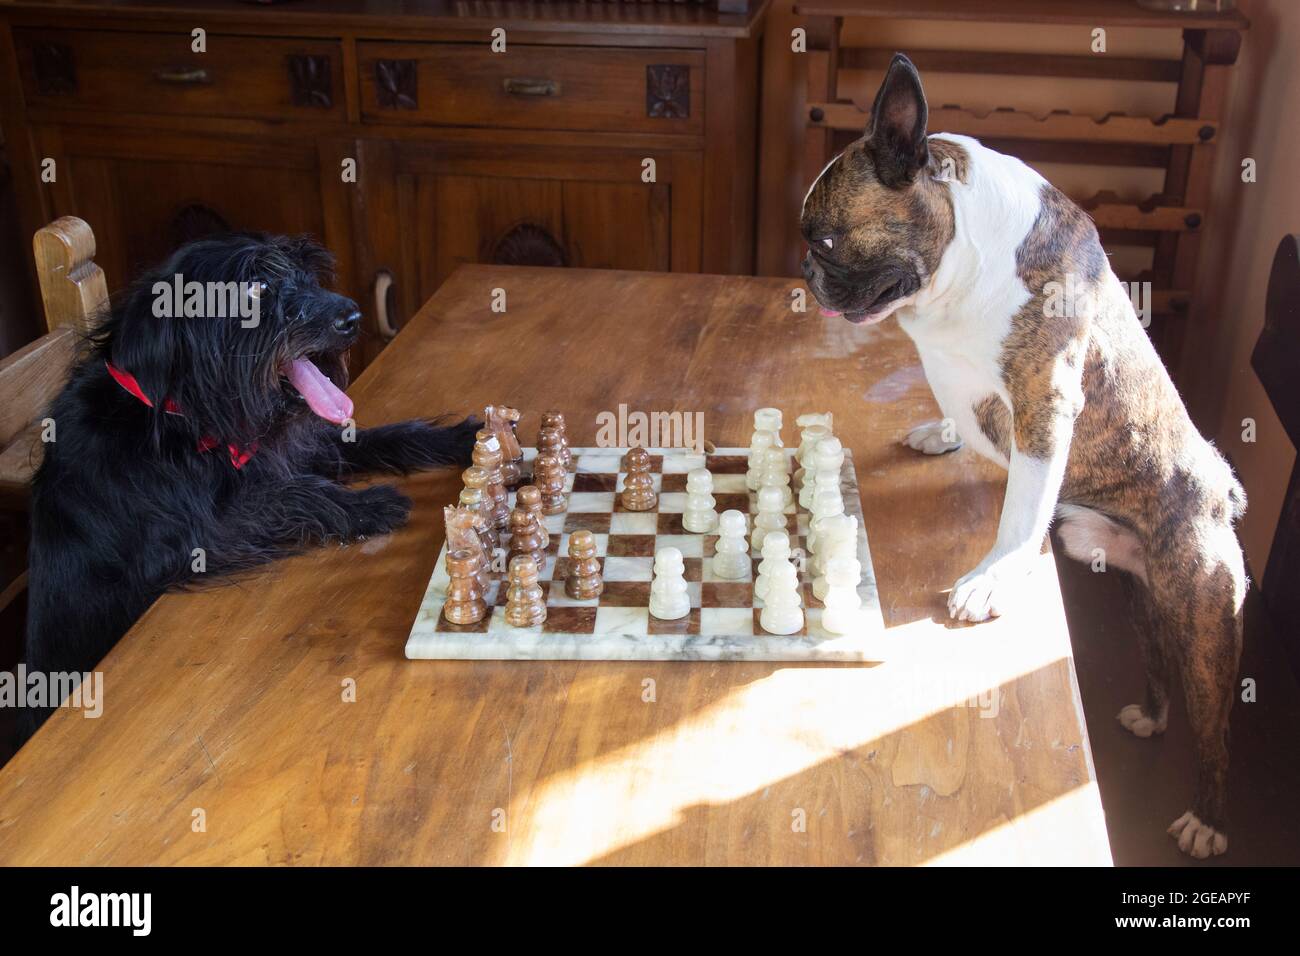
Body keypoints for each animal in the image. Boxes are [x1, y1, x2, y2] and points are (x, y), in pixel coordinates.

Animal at [21, 234, 478, 738]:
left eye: (305, 273)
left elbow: (375, 438)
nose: (353, 316)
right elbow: (292, 495)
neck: (182, 420)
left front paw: (458, 438)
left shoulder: (283, 451)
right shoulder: (194, 542)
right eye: (256, 289)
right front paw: (368, 506)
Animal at [800, 54, 1248, 858]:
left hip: (1203, 613)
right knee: (1157, 660)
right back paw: (1149, 714)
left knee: (1214, 728)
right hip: (1144, 601)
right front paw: (945, 432)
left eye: (823, 243)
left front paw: (993, 579)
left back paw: (1207, 817)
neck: (962, 266)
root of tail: (1223, 489)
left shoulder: (1046, 403)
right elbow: (962, 411)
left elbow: (1019, 516)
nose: (803, 273)